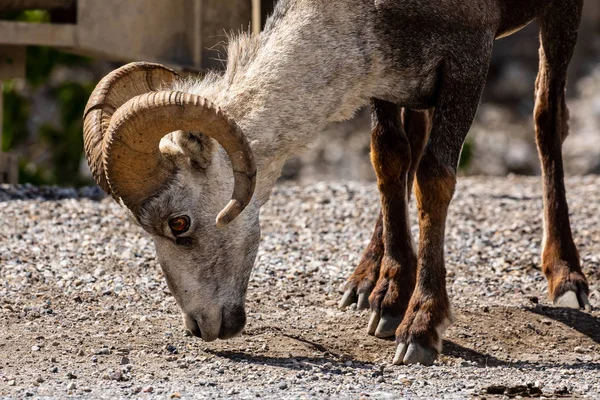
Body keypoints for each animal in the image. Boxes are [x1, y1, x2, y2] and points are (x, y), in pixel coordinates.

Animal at [83, 0, 592, 366]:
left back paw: (566, 276)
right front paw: (390, 304)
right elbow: (389, 159)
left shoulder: (469, 60)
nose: (200, 327)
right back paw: (366, 284)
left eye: (179, 223)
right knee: (410, 146)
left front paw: (420, 330)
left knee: (547, 118)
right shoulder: (386, 80)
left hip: (559, 16)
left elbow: (433, 178)